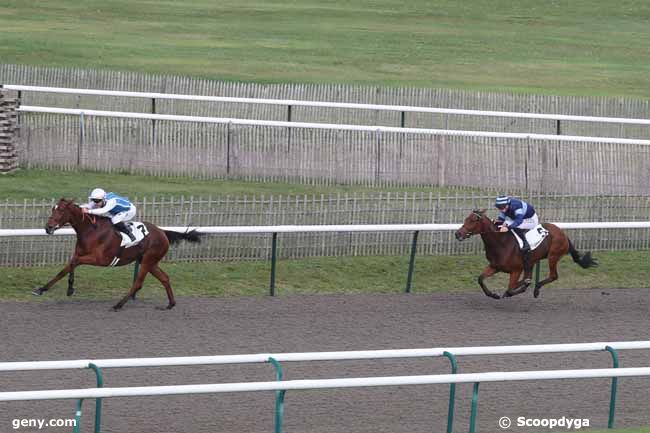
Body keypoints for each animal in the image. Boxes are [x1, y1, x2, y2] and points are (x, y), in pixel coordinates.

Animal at [34, 199, 200, 310]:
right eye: (52, 209)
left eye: (61, 210)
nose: (48, 227)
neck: (91, 231)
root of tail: (163, 232)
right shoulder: (79, 254)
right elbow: (66, 268)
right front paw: (42, 289)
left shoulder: (100, 259)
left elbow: (74, 263)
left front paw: (69, 289)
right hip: (150, 262)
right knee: (164, 278)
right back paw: (171, 304)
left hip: (148, 260)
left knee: (138, 283)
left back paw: (118, 304)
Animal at [454, 208, 596, 296]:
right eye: (466, 219)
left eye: (473, 220)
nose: (458, 234)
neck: (501, 243)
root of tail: (563, 234)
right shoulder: (495, 266)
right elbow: (480, 279)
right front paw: (493, 294)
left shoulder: (516, 270)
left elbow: (510, 288)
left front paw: (513, 290)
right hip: (533, 260)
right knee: (532, 275)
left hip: (553, 256)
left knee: (553, 276)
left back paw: (536, 288)